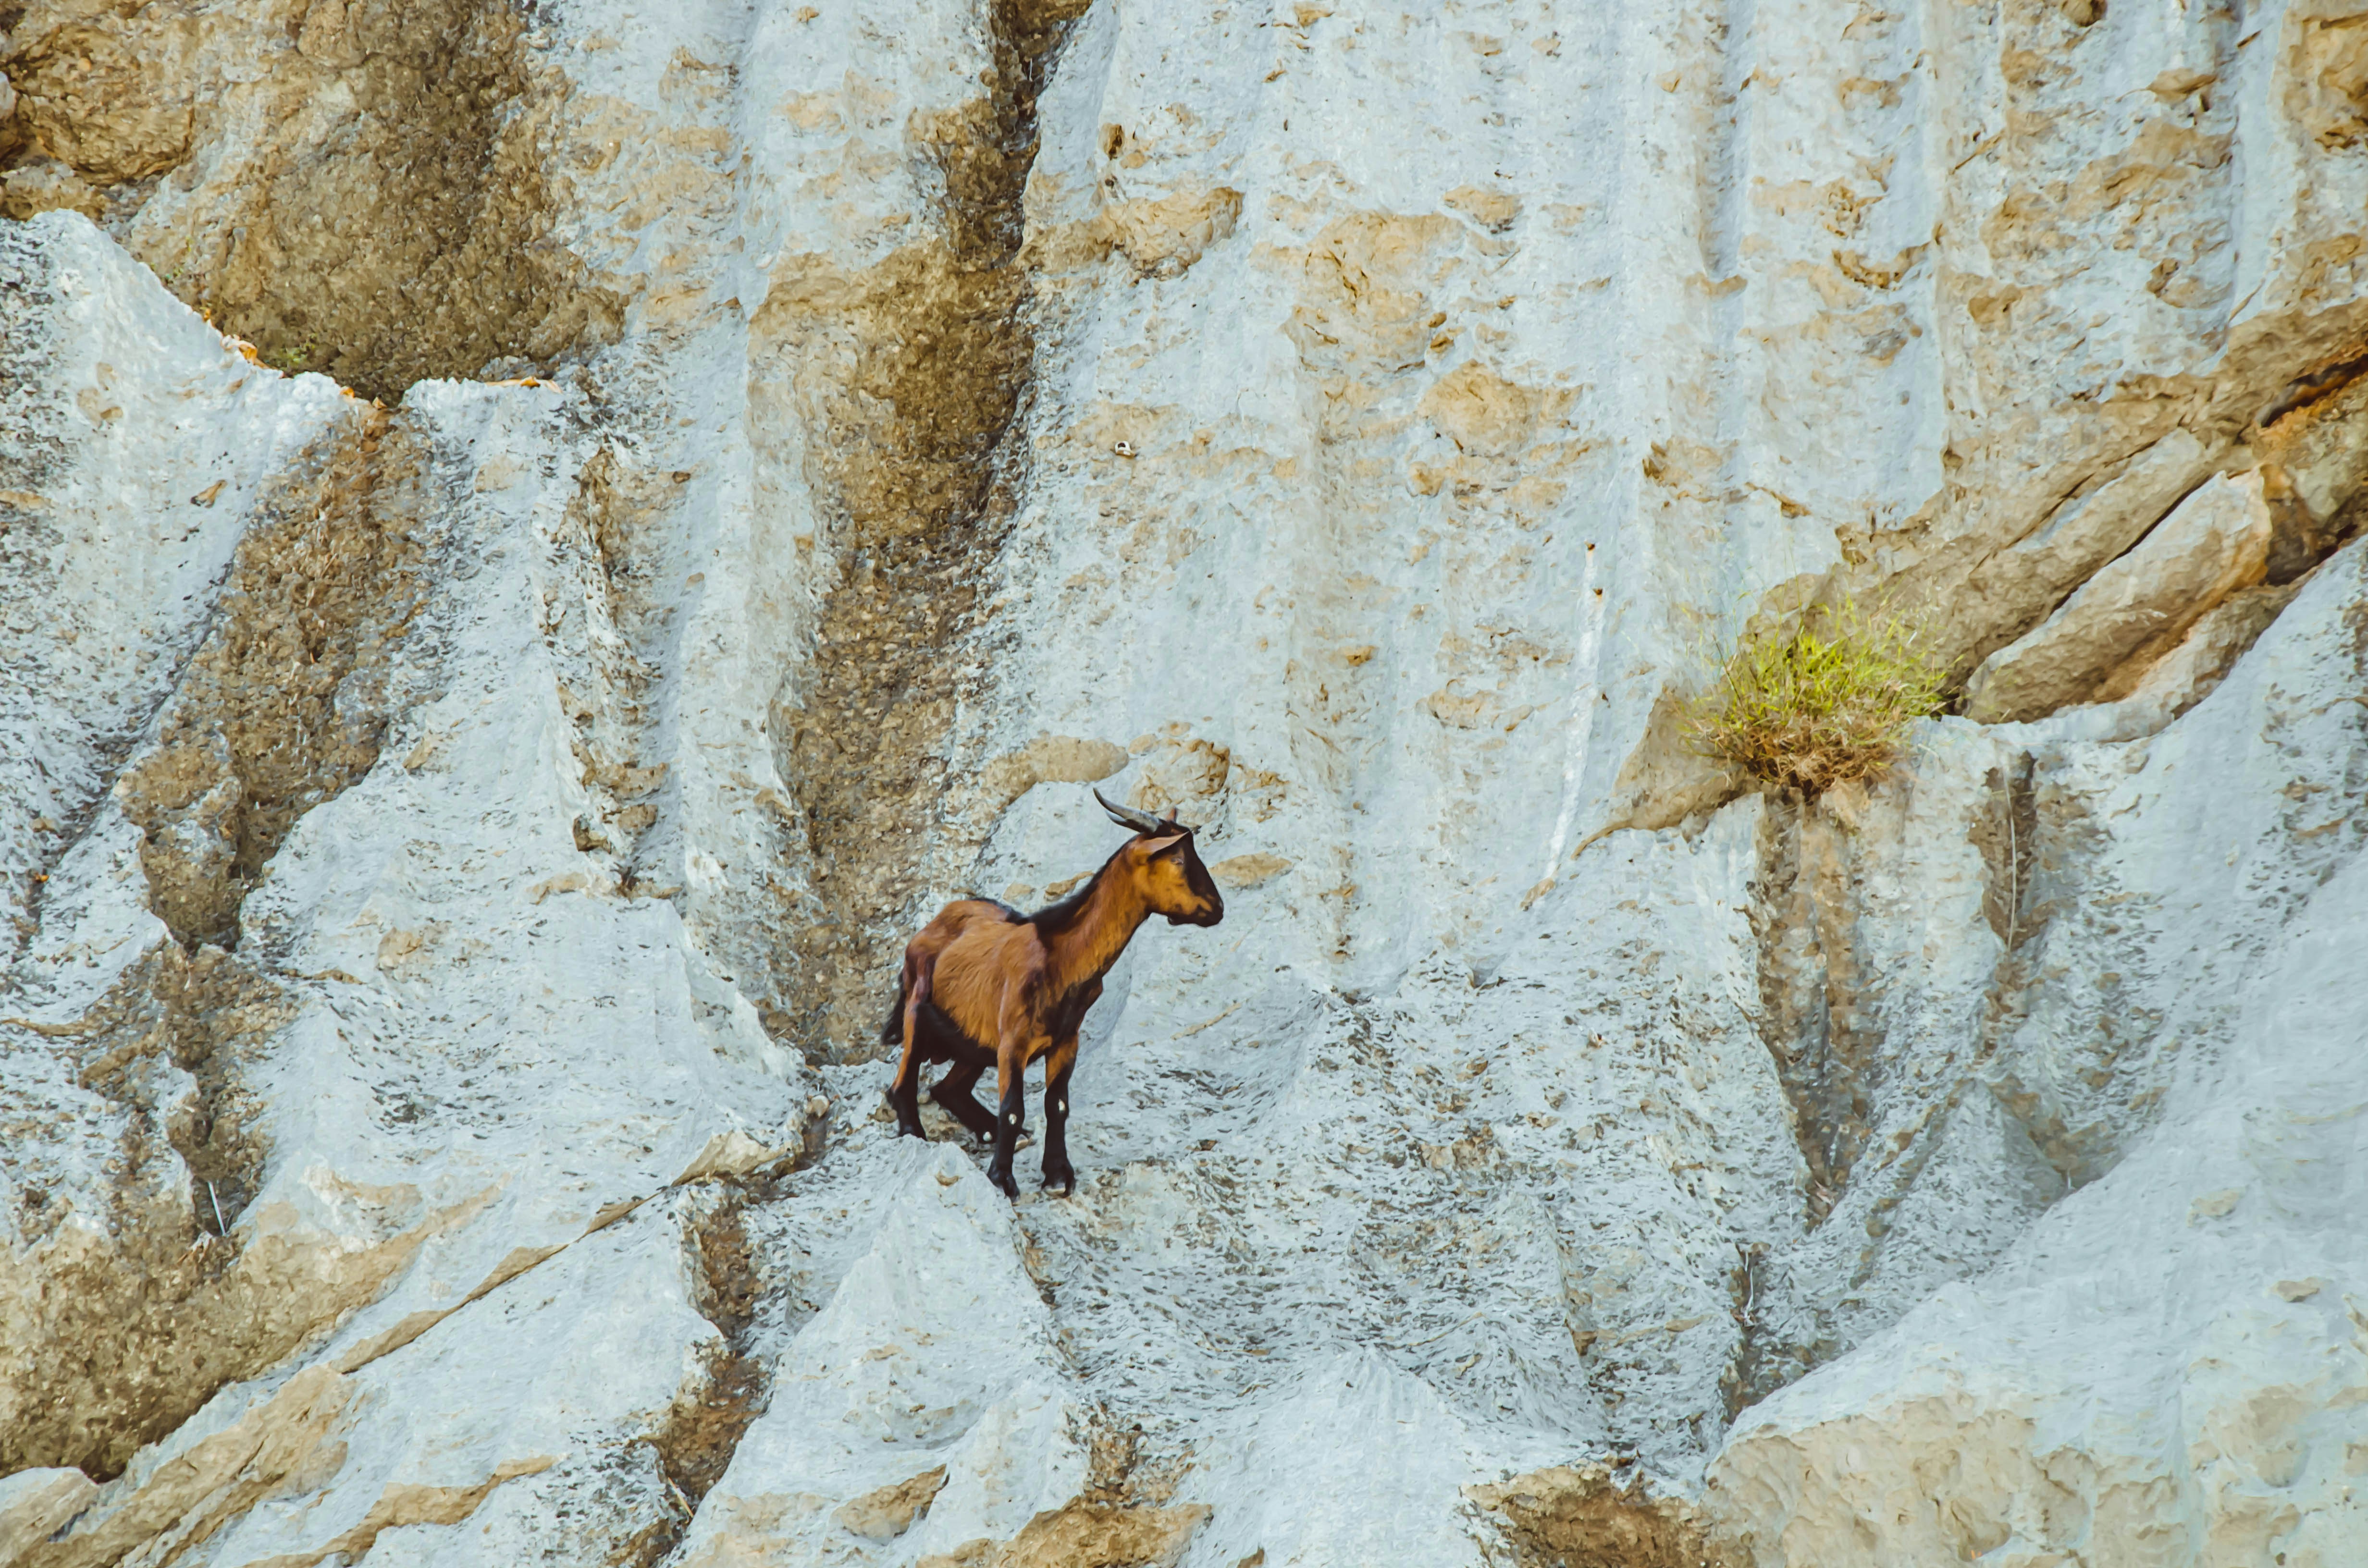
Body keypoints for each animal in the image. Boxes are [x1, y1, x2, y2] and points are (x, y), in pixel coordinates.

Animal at [881, 789, 1225, 1196]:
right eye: (1177, 859)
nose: (1218, 909)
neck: (1062, 958)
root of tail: (932, 925)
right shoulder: (1013, 1041)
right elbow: (1013, 1109)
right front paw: (1002, 1180)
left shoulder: (1065, 1040)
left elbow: (1057, 1105)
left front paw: (1058, 1175)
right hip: (919, 1003)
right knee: (903, 1080)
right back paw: (913, 1131)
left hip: (977, 1040)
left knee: (948, 1089)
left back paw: (991, 1132)